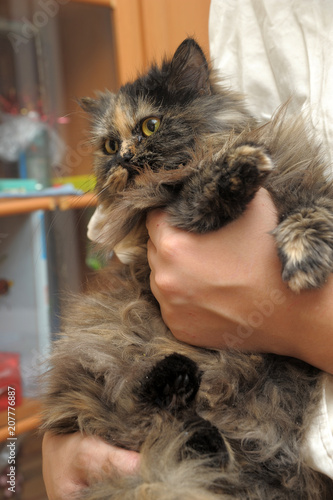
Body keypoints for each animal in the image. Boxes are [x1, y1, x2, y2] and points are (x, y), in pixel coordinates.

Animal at [40, 37, 332, 498]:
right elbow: (201, 195)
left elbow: (311, 212)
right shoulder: (172, 213)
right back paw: (176, 383)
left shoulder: (303, 184)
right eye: (109, 146)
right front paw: (236, 169)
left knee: (188, 440)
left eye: (150, 126)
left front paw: (306, 254)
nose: (124, 157)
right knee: (160, 419)